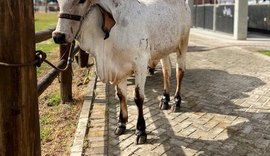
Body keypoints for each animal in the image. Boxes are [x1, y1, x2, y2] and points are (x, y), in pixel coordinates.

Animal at [52, 0, 191, 144]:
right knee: (166, 71)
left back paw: (176, 102)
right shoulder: (118, 68)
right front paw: (121, 123)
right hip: (164, 50)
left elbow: (138, 98)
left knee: (179, 72)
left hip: (182, 45)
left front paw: (141, 130)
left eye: (81, 1)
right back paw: (165, 100)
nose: (58, 36)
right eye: (58, 2)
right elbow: (121, 95)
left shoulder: (140, 65)